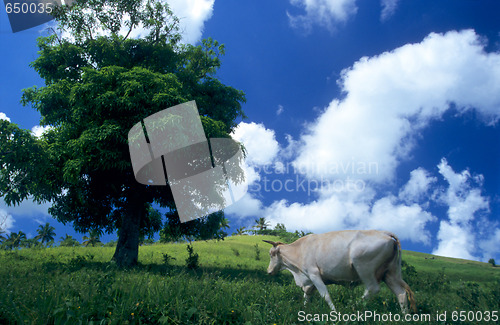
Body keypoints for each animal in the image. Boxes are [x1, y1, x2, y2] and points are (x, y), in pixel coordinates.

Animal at [264, 229, 416, 312]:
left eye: (271, 254)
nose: (269, 271)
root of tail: (385, 233)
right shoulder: (309, 281)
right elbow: (307, 295)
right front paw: (304, 309)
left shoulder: (314, 274)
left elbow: (325, 295)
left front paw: (334, 312)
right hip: (390, 274)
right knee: (401, 294)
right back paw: (405, 317)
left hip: (365, 269)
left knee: (373, 289)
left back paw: (352, 307)